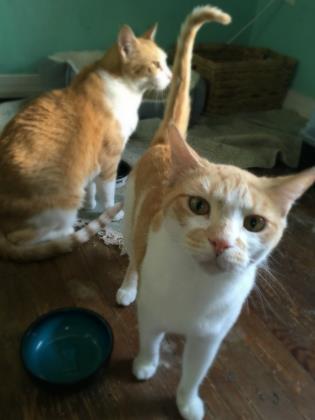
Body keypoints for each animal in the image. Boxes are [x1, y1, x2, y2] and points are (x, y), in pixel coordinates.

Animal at [0, 23, 173, 260]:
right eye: (156, 64)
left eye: (165, 61)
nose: (172, 76)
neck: (125, 89)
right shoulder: (110, 159)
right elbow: (107, 193)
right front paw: (110, 212)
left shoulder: (92, 161)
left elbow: (92, 187)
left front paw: (90, 204)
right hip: (62, 203)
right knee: (29, 238)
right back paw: (67, 231)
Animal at [116, 4, 315, 420]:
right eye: (198, 205)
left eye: (254, 223)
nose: (221, 242)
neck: (197, 290)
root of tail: (167, 140)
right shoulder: (152, 314)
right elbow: (150, 342)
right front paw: (144, 366)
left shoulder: (210, 339)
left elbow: (194, 374)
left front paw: (188, 403)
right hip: (132, 220)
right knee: (132, 258)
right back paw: (127, 286)